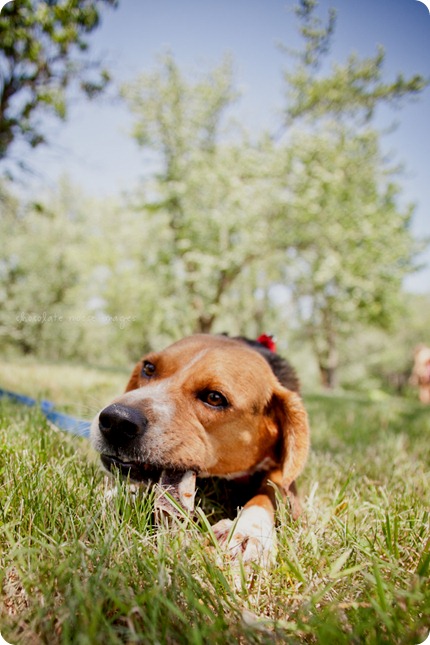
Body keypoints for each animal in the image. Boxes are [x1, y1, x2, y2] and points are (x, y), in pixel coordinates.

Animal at [90, 334, 310, 568]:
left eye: (214, 397)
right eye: (148, 368)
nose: (117, 420)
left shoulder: (285, 480)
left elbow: (268, 493)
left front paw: (248, 529)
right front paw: (120, 493)